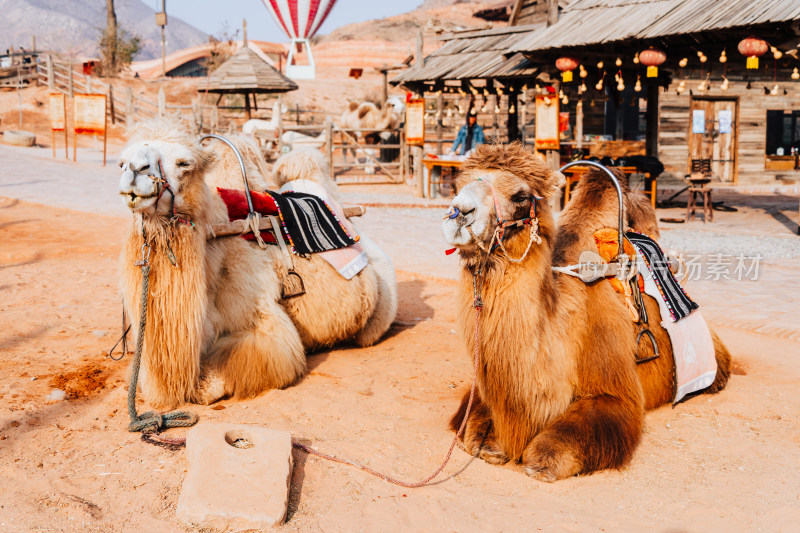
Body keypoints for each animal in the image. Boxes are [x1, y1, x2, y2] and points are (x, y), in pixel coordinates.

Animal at [115, 117, 396, 408]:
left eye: (184, 163)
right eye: (121, 163)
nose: (134, 170)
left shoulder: (266, 326)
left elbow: (226, 371)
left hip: (380, 307)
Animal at [444, 143, 732, 480]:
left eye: (521, 196)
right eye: (456, 186)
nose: (459, 212)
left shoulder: (615, 390)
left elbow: (556, 445)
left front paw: (541, 462)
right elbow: (474, 427)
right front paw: (490, 444)